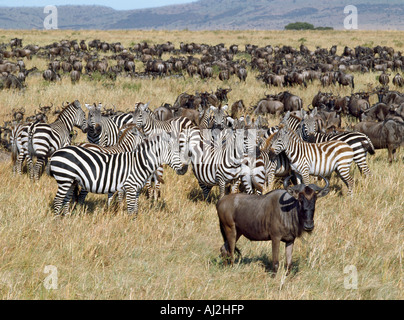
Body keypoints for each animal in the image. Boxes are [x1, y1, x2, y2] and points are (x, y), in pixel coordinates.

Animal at [48, 131, 189, 216]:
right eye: (176, 152)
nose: (185, 169)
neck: (140, 163)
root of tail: (57, 152)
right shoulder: (130, 187)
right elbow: (131, 209)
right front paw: (131, 228)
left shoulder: (136, 189)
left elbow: (135, 209)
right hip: (64, 179)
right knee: (58, 200)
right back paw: (58, 221)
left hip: (71, 181)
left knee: (66, 199)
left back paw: (67, 217)